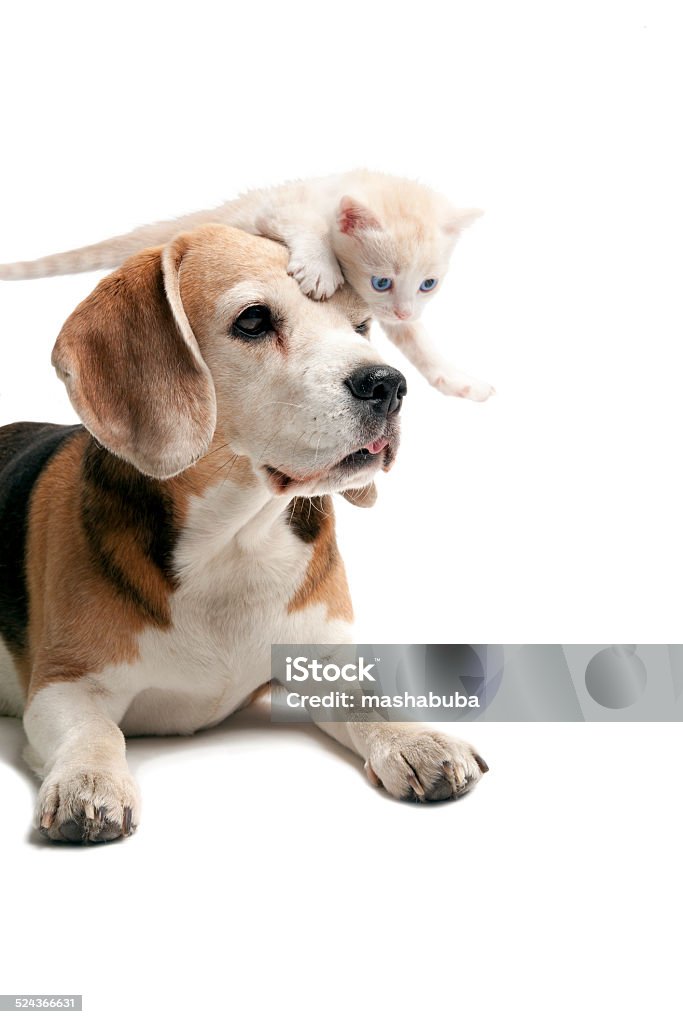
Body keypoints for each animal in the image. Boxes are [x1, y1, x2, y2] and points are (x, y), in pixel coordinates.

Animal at [0, 172, 491, 399]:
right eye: (382, 280)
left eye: (429, 284)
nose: (405, 310)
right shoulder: (279, 207)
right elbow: (306, 229)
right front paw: (319, 268)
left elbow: (419, 345)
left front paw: (457, 380)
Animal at [0, 224, 491, 839]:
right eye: (253, 321)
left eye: (360, 326)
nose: (388, 383)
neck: (233, 543)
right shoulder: (63, 683)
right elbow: (95, 731)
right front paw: (87, 782)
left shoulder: (325, 660)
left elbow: (372, 699)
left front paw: (418, 740)